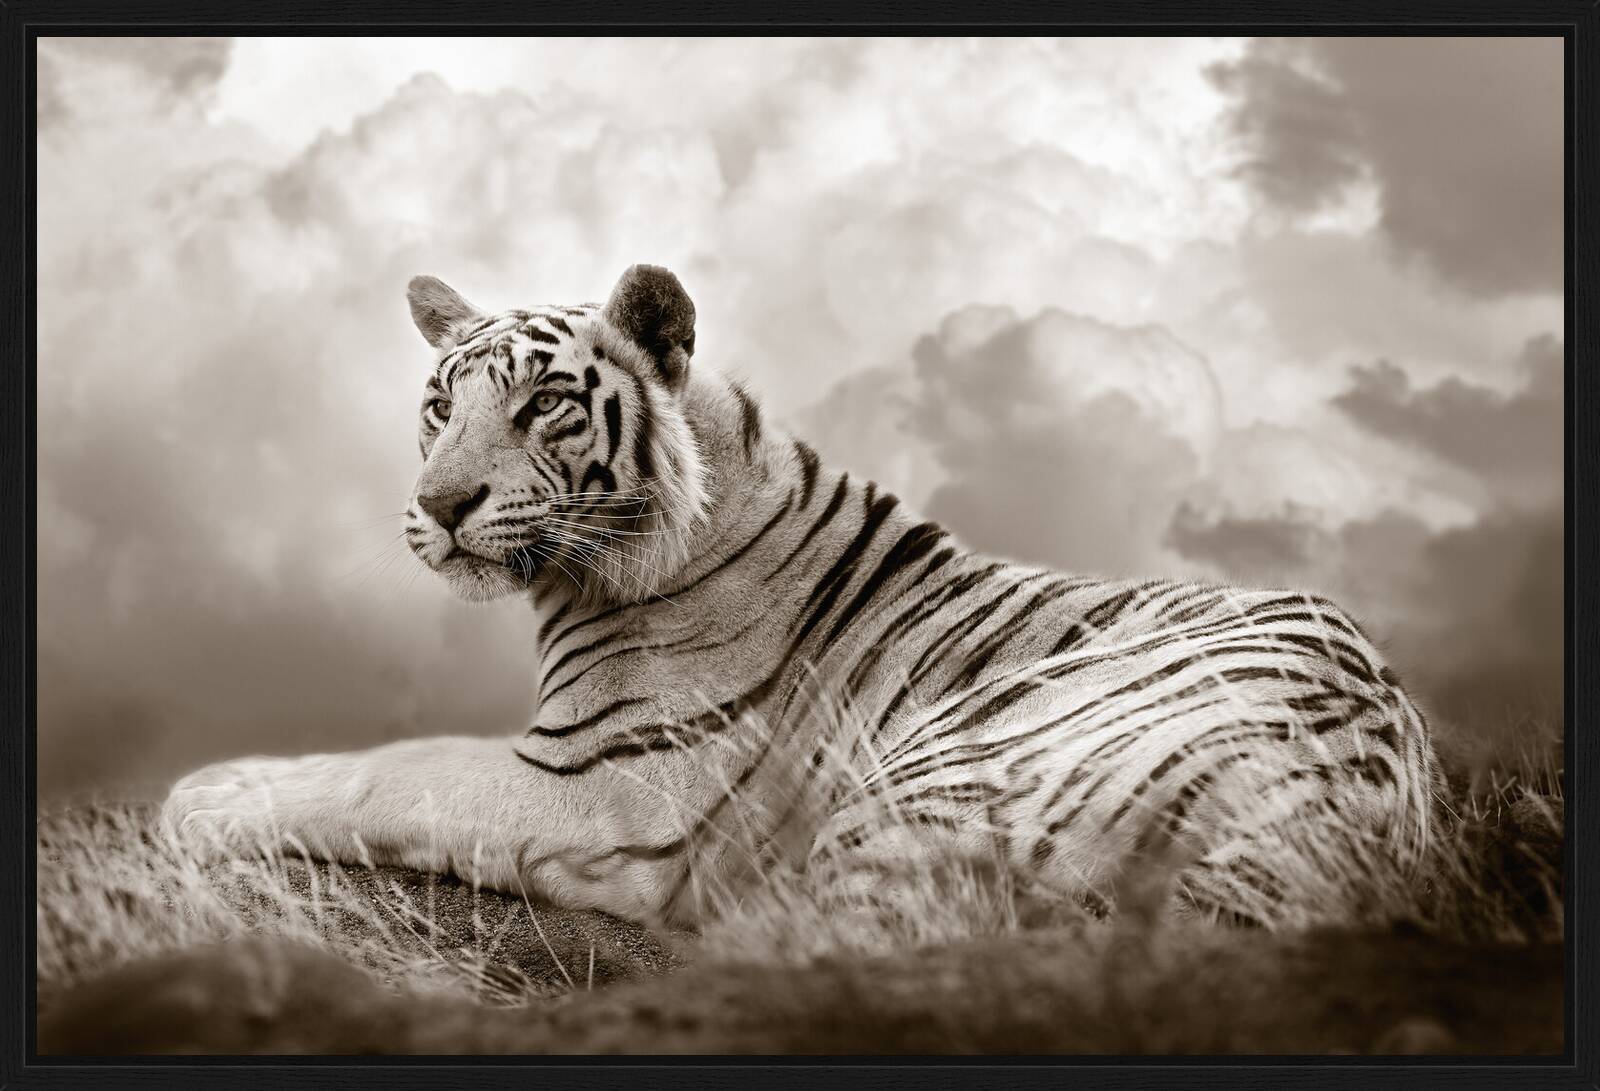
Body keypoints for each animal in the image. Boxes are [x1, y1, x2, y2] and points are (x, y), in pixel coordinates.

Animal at [163, 264, 1443, 929]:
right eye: (440, 404)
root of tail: (1354, 795)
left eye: (544, 405)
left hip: (920, 782)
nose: (438, 503)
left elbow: (395, 767)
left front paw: (205, 793)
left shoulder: (608, 794)